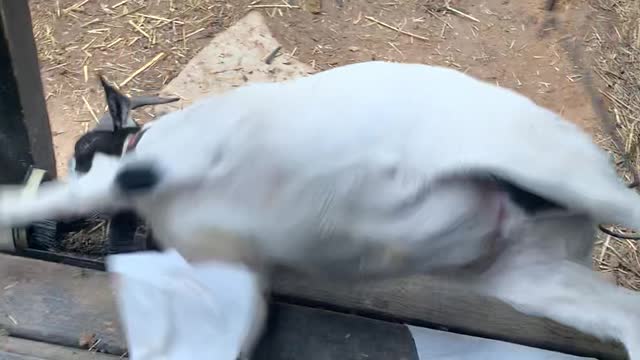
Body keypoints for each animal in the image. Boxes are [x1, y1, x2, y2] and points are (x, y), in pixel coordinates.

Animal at [1, 61, 640, 358]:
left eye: (85, 146)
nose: (55, 232)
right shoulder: (233, 274)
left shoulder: (173, 161)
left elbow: (90, 190)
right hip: (530, 276)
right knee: (625, 319)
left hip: (554, 171)